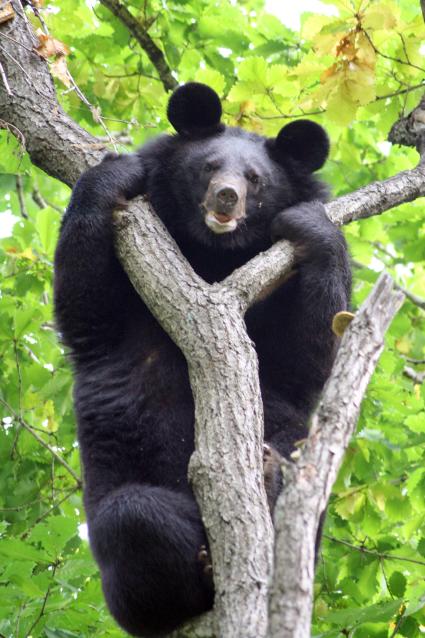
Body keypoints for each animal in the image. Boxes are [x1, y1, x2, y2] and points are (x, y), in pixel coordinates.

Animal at [54, 84, 350, 638]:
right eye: (209, 167)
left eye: (256, 179)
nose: (226, 197)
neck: (212, 255)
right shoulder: (118, 313)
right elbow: (84, 301)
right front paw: (114, 173)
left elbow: (309, 352)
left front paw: (310, 227)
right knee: (133, 516)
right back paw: (201, 569)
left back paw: (269, 482)